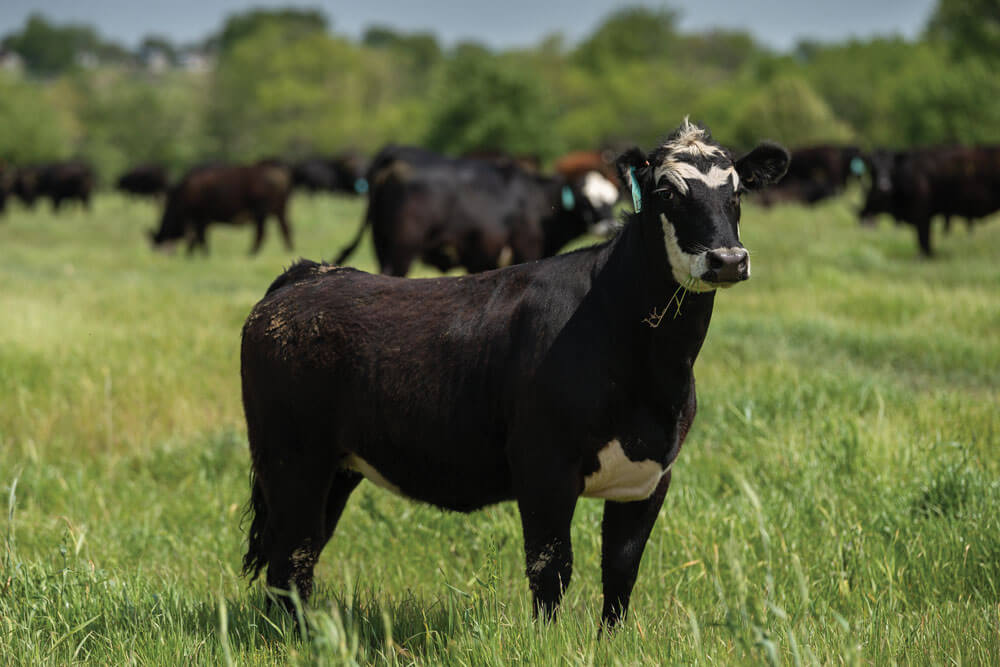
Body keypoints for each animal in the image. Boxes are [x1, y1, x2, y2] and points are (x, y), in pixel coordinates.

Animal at [149, 162, 292, 256]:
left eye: (157, 247)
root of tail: (277, 172)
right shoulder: (201, 220)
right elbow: (196, 237)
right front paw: (192, 254)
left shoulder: (200, 218)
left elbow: (200, 237)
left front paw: (201, 254)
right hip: (280, 209)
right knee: (285, 229)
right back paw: (288, 250)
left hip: (260, 212)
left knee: (261, 233)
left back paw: (250, 253)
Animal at [334, 147, 616, 276]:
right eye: (586, 201)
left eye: (612, 200)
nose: (610, 225)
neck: (535, 199)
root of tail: (397, 155)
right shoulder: (526, 250)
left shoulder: (481, 259)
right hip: (402, 249)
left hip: (381, 244)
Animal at [856, 147, 1000, 256]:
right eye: (873, 169)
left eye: (892, 168)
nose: (883, 187)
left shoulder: (922, 214)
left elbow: (923, 239)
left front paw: (925, 256)